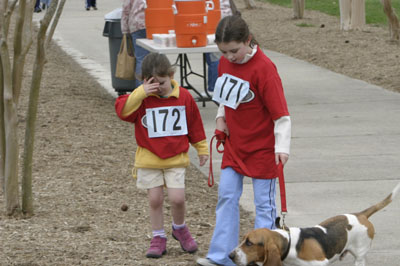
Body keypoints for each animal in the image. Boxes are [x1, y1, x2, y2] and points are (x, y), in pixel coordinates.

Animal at [230, 182, 398, 264]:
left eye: (250, 243)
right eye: (243, 239)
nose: (230, 256)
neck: (289, 244)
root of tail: (360, 214)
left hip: (360, 256)